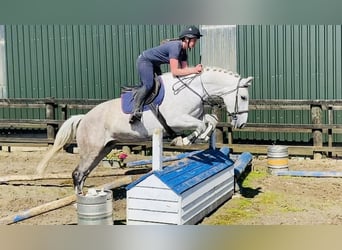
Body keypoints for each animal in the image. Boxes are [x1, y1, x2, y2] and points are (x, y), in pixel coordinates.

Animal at [36, 67, 252, 193]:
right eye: (243, 97)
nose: (241, 124)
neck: (193, 91)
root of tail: (83, 118)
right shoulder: (177, 120)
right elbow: (201, 126)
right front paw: (184, 140)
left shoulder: (194, 117)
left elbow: (210, 121)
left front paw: (197, 138)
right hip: (92, 150)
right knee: (78, 174)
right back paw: (79, 203)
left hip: (103, 149)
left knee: (83, 173)